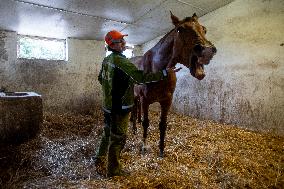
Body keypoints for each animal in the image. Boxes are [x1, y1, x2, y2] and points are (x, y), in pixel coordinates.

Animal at [130, 12, 216, 158]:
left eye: (204, 29)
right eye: (180, 29)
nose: (207, 50)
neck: (157, 70)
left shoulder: (167, 101)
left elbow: (163, 125)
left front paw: (161, 150)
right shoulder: (145, 100)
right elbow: (146, 123)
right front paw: (144, 147)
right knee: (134, 110)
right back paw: (134, 129)